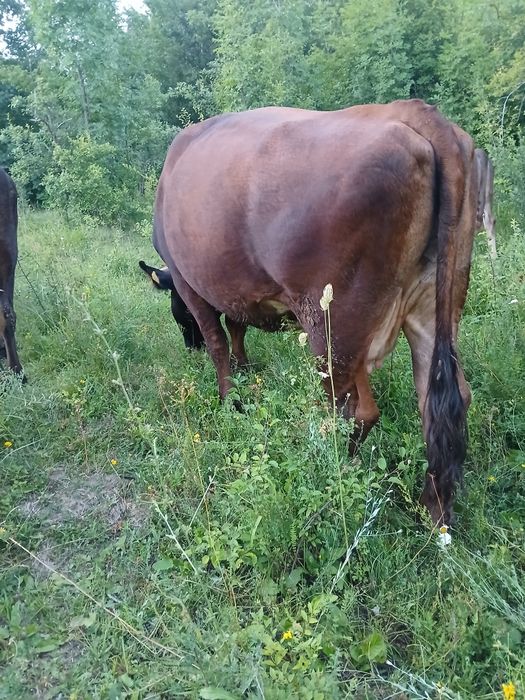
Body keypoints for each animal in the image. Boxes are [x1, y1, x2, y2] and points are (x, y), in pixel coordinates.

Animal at [150, 99, 479, 526]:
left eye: (177, 312)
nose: (188, 345)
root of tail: (413, 112)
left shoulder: (190, 284)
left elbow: (219, 343)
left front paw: (228, 400)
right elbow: (237, 328)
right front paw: (244, 372)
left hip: (333, 323)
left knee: (354, 410)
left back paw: (332, 478)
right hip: (434, 305)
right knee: (441, 399)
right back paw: (433, 510)